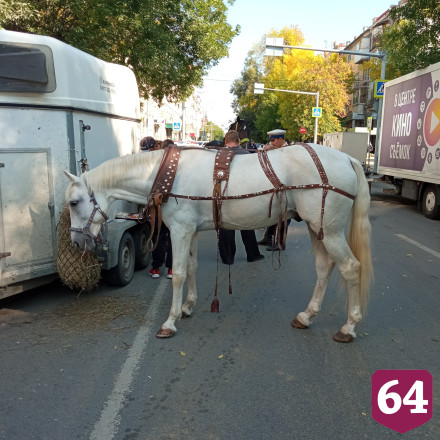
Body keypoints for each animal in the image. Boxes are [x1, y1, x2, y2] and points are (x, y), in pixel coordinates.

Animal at [65, 145, 372, 344]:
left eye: (74, 202)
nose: (76, 242)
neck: (167, 173)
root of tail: (347, 158)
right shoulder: (191, 230)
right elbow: (191, 267)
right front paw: (188, 307)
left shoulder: (180, 230)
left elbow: (178, 274)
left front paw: (170, 321)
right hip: (315, 228)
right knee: (324, 267)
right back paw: (307, 316)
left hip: (328, 230)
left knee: (350, 267)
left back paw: (349, 326)